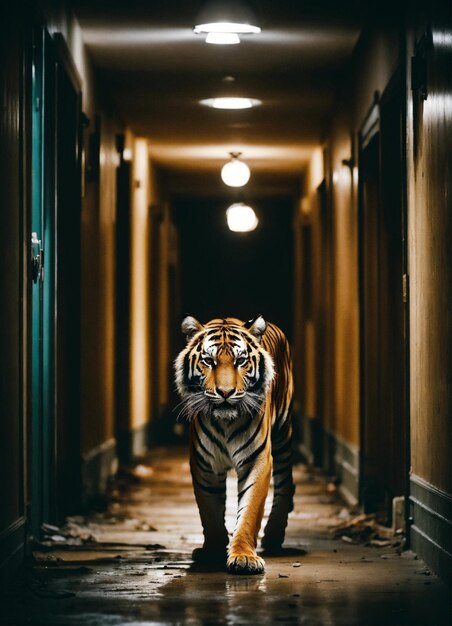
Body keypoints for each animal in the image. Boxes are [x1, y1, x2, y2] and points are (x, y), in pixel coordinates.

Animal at [173, 314, 294, 572]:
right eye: (209, 361)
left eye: (240, 361)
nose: (226, 392)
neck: (225, 422)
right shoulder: (204, 464)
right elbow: (210, 510)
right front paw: (213, 550)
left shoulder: (257, 461)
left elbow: (249, 511)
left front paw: (244, 557)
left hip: (283, 434)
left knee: (286, 485)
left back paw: (274, 536)